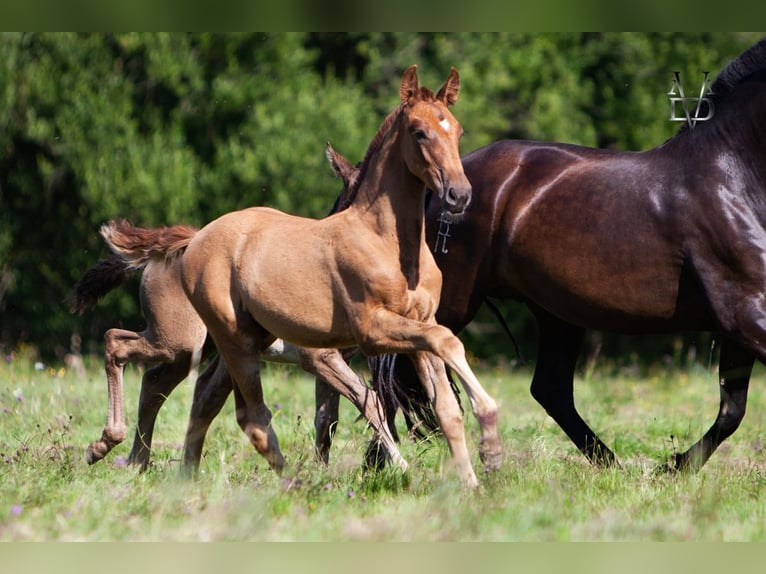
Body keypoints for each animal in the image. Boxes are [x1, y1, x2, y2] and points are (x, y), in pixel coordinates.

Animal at [97, 67, 504, 490]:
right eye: (419, 131)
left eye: (457, 131)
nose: (459, 195)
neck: (387, 242)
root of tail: (194, 240)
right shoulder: (367, 332)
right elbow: (426, 358)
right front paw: (487, 442)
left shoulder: (416, 324)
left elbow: (444, 404)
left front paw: (473, 480)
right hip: (198, 341)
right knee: (224, 404)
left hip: (234, 342)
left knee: (197, 397)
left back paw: (176, 471)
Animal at [370, 38, 766, 474]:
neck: (734, 177)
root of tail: (444, 185)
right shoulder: (744, 310)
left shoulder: (738, 322)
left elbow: (732, 410)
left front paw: (674, 466)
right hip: (455, 301)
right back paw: (380, 465)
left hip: (557, 312)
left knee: (550, 389)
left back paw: (611, 465)